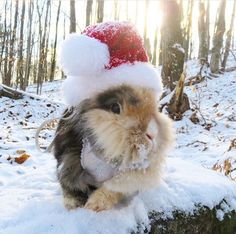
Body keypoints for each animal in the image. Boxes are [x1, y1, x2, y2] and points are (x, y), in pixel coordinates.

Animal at [54, 84, 174, 212]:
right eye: (115, 108)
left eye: (155, 108)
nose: (152, 134)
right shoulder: (68, 163)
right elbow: (69, 188)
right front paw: (73, 206)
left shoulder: (130, 177)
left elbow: (113, 188)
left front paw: (93, 205)